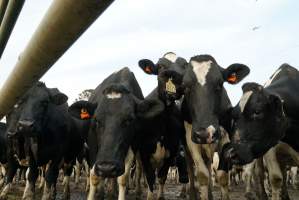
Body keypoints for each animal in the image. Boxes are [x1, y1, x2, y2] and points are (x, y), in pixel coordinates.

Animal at [69, 67, 165, 200]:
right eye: (96, 120)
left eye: (129, 120)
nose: (107, 167)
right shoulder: (93, 148)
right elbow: (94, 176)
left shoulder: (132, 146)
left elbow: (123, 178)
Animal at [224, 64, 299, 200]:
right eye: (234, 114)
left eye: (257, 111)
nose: (229, 154)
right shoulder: (270, 150)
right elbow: (275, 178)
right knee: (258, 174)